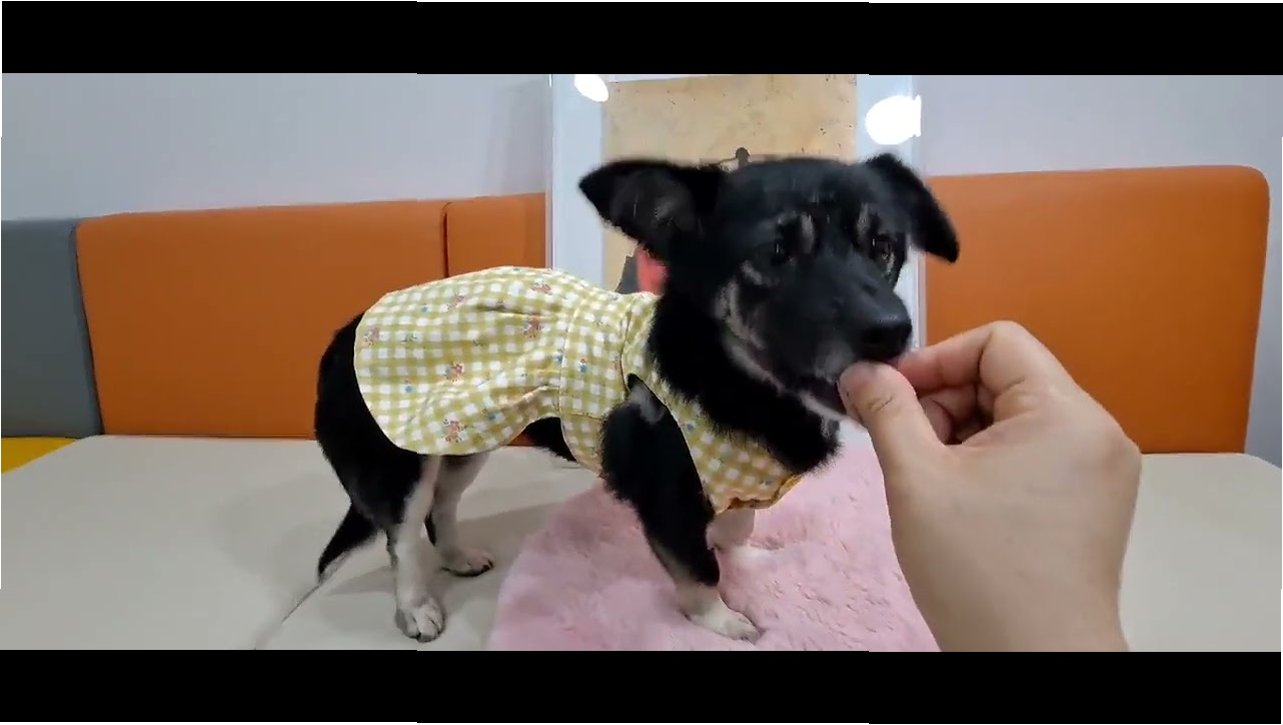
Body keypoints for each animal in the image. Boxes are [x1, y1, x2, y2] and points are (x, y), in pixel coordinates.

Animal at [312, 151, 960, 643]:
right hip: (403, 459)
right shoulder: (667, 500)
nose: (892, 330)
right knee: (402, 535)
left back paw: (456, 556)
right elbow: (699, 569)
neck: (736, 380)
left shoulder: (732, 488)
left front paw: (751, 563)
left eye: (884, 246)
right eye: (776, 253)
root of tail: (348, 332)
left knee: (442, 506)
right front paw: (724, 621)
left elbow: (735, 532)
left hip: (465, 435)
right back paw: (417, 605)